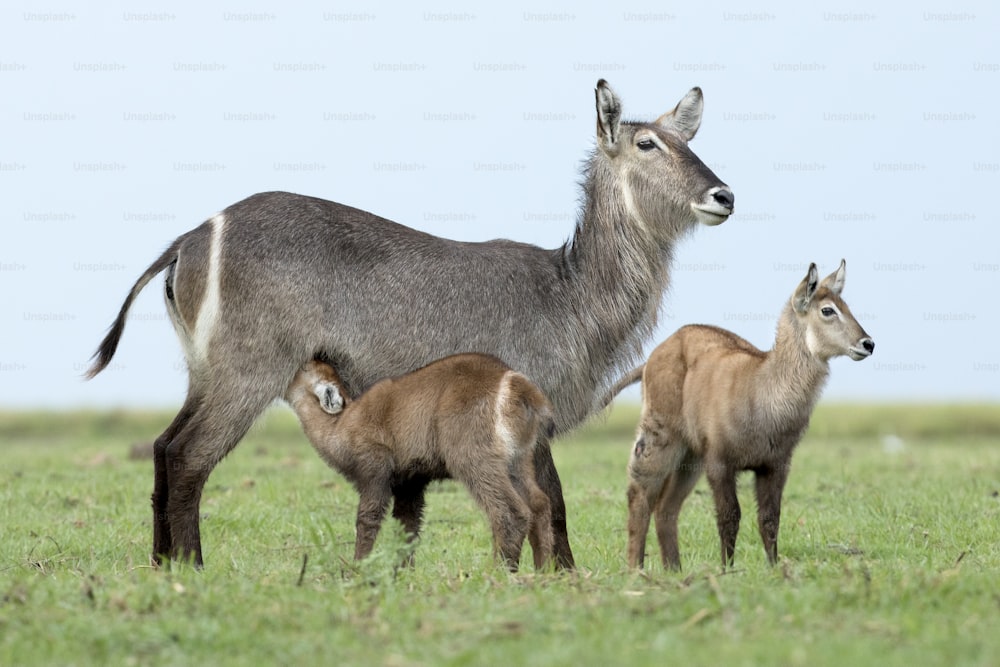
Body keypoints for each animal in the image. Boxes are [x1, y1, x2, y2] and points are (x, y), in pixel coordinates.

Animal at [286, 352, 560, 572]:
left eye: (305, 367)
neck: (342, 424)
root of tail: (515, 383)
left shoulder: (374, 473)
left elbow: (368, 519)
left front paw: (358, 570)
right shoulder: (410, 483)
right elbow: (407, 527)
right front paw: (403, 574)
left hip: (474, 459)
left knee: (510, 512)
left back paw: (499, 574)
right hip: (518, 461)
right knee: (539, 504)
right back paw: (542, 574)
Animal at [624, 260, 876, 568]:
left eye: (845, 305)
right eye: (827, 310)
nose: (868, 344)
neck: (763, 390)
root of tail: (655, 354)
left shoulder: (775, 465)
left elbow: (769, 519)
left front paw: (773, 567)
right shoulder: (720, 463)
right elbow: (729, 517)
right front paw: (727, 569)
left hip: (690, 457)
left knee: (665, 508)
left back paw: (674, 570)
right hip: (661, 437)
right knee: (640, 495)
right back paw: (635, 568)